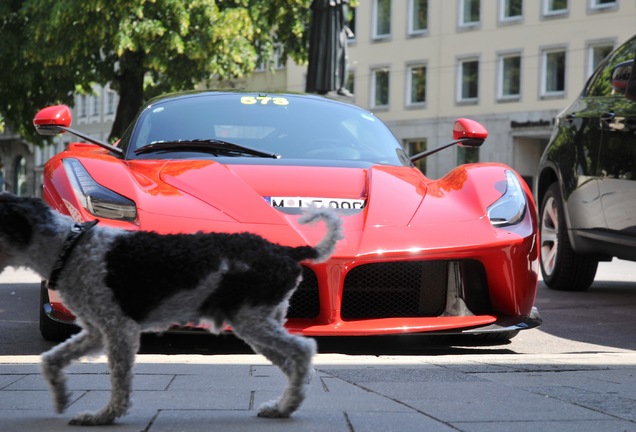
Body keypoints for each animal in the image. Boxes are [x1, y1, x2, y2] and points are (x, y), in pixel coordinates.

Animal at [0, 195, 342, 426]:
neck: (70, 247)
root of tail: (286, 251)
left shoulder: (119, 330)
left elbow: (120, 383)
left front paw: (105, 416)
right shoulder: (97, 332)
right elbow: (50, 359)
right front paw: (61, 397)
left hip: (253, 321)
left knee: (303, 351)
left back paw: (287, 406)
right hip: (260, 324)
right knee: (295, 364)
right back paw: (283, 407)